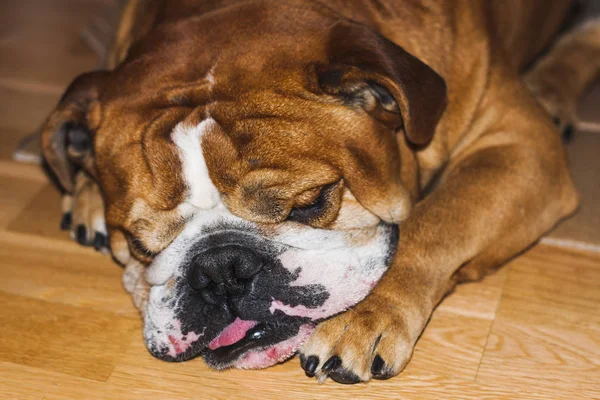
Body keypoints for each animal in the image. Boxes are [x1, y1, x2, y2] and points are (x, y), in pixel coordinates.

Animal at [39, 0, 596, 384]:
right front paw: (84, 186)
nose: (221, 269)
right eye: (140, 243)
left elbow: (433, 225)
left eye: (312, 202)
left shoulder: (521, 149)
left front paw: (364, 317)